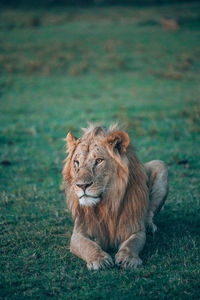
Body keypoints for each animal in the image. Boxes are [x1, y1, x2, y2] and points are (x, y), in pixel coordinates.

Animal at [62, 124, 167, 270]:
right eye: (76, 162)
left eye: (99, 161)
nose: (82, 185)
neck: (107, 203)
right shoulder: (78, 232)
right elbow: (88, 245)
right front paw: (99, 259)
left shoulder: (134, 228)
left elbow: (132, 244)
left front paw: (128, 258)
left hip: (161, 165)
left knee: (149, 212)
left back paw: (149, 226)